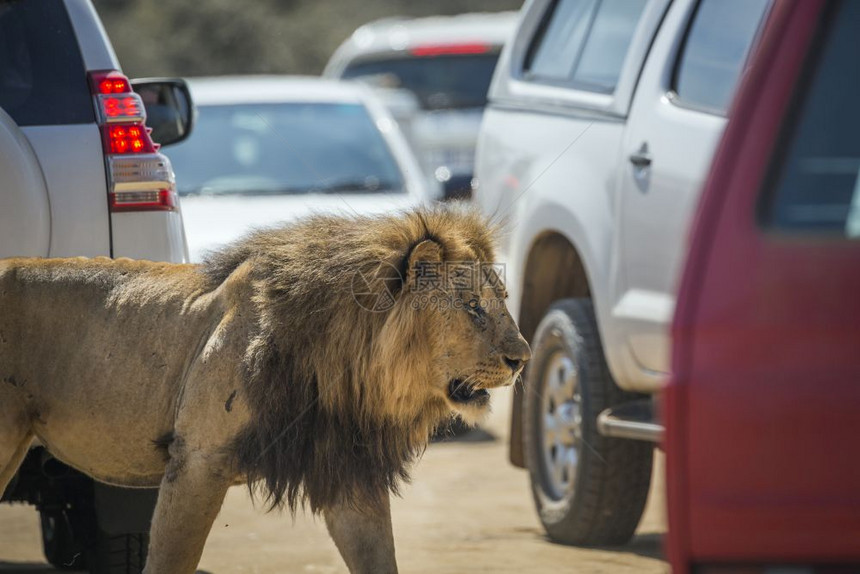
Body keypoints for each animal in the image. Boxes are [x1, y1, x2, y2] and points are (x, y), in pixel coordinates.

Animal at [0, 208, 532, 574]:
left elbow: (379, 560)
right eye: (473, 308)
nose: (522, 358)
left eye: (503, 300)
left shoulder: (345, 471)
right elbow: (171, 559)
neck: (345, 367)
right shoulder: (196, 461)